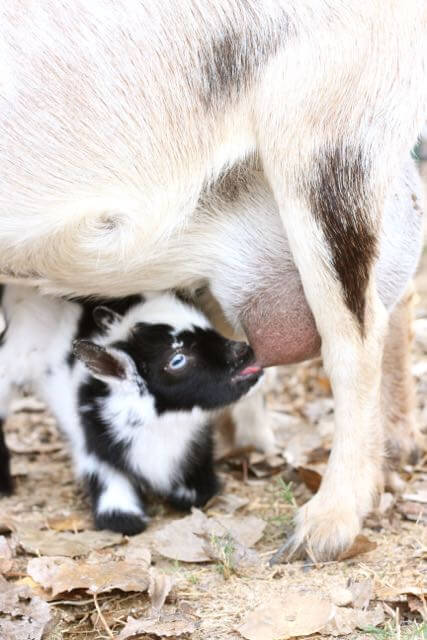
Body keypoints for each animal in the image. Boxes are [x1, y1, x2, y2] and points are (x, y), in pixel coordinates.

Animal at [0, 288, 260, 532]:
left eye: (208, 327)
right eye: (177, 360)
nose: (243, 351)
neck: (162, 423)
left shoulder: (196, 440)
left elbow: (200, 490)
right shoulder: (94, 441)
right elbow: (107, 479)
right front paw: (120, 514)